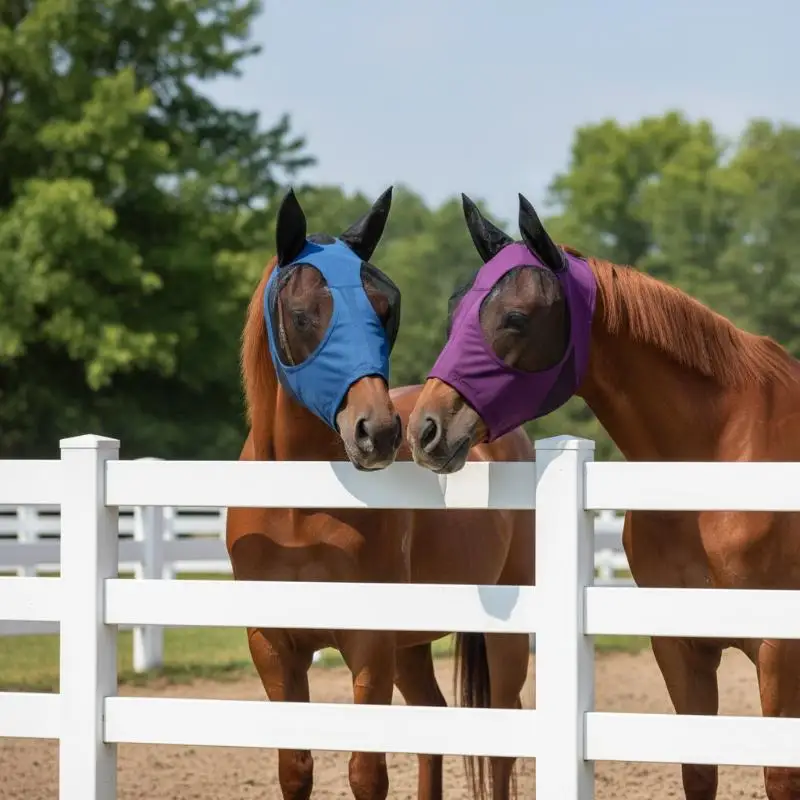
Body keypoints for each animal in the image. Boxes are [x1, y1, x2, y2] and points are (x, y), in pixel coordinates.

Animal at [224, 187, 534, 800]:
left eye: (386, 309)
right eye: (302, 314)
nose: (382, 431)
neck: (298, 509)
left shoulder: (368, 642)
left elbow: (367, 773)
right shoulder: (273, 646)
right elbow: (295, 770)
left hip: (503, 636)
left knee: (501, 738)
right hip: (411, 646)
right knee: (432, 719)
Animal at [406, 191, 800, 800]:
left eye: (514, 318)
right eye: (455, 313)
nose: (425, 429)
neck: (722, 458)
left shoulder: (779, 652)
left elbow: (781, 773)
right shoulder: (681, 648)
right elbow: (698, 770)